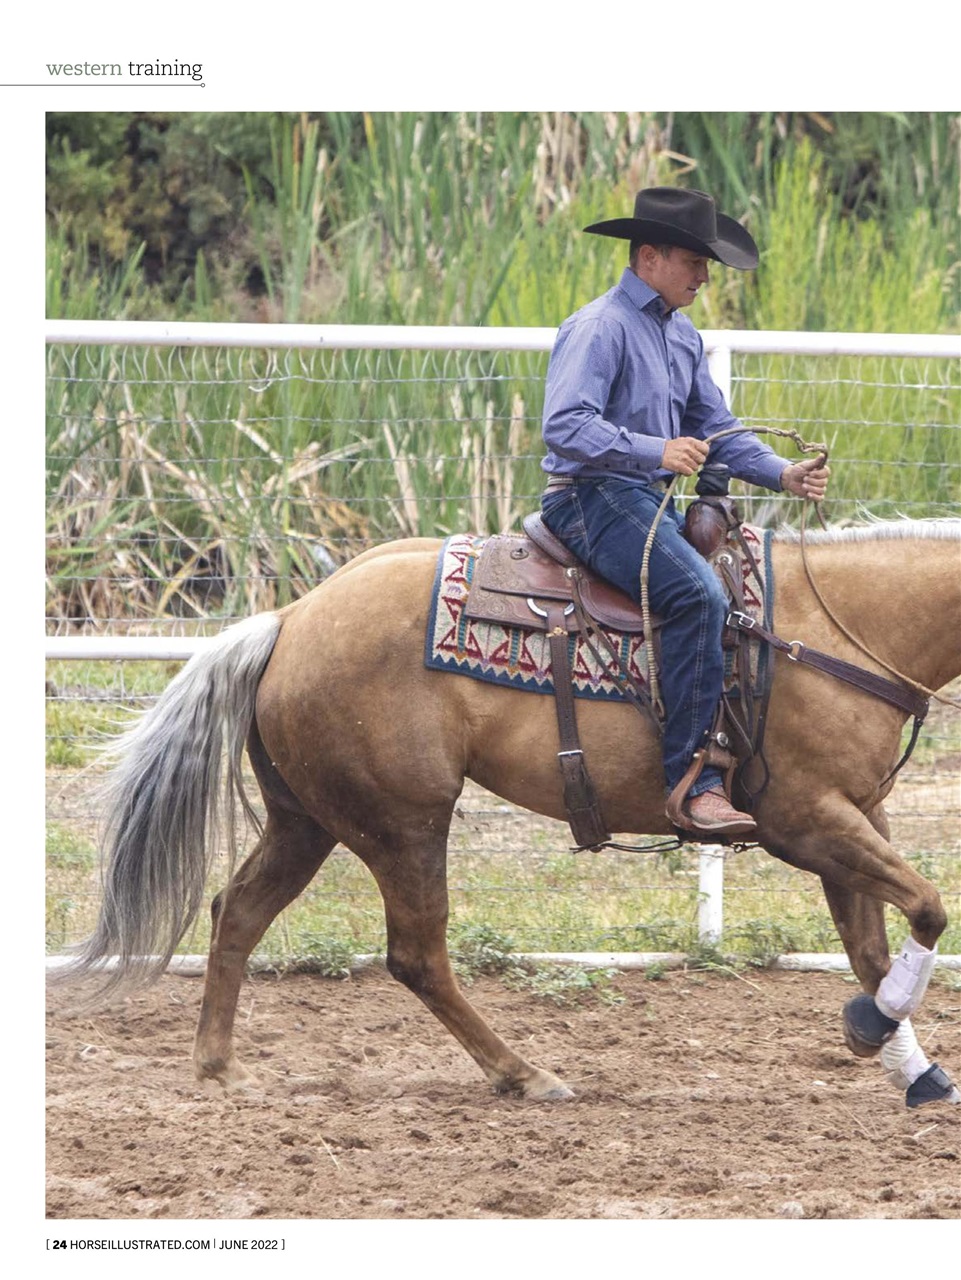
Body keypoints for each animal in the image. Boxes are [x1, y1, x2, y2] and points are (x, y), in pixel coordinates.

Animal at [58, 517, 961, 1107]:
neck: (830, 628)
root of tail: (290, 620)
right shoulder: (804, 820)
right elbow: (925, 908)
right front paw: (874, 1033)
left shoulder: (855, 818)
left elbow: (872, 948)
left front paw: (908, 1067)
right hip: (404, 823)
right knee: (416, 956)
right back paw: (522, 1074)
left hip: (306, 821)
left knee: (237, 912)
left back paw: (219, 1069)